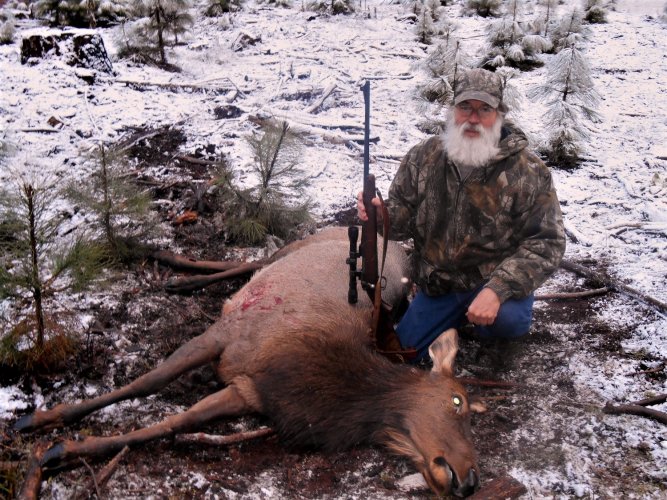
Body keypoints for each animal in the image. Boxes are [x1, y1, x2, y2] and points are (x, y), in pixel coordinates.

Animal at [14, 226, 483, 497]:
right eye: (457, 401)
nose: (470, 479)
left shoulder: (249, 391)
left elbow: (177, 423)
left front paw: (64, 449)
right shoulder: (229, 336)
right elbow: (145, 384)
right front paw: (43, 422)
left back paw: (179, 280)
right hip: (300, 245)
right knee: (249, 259)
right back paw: (163, 263)